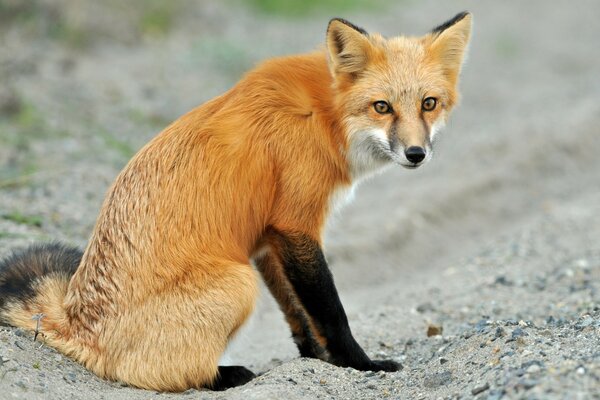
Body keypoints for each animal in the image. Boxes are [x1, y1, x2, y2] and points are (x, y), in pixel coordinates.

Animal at [0, 11, 474, 390]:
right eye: (382, 107)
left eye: (429, 104)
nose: (416, 154)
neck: (324, 116)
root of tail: (74, 323)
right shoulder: (296, 225)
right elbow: (330, 311)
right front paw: (362, 365)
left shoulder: (269, 238)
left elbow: (297, 313)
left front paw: (316, 362)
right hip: (238, 283)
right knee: (154, 375)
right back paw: (224, 376)